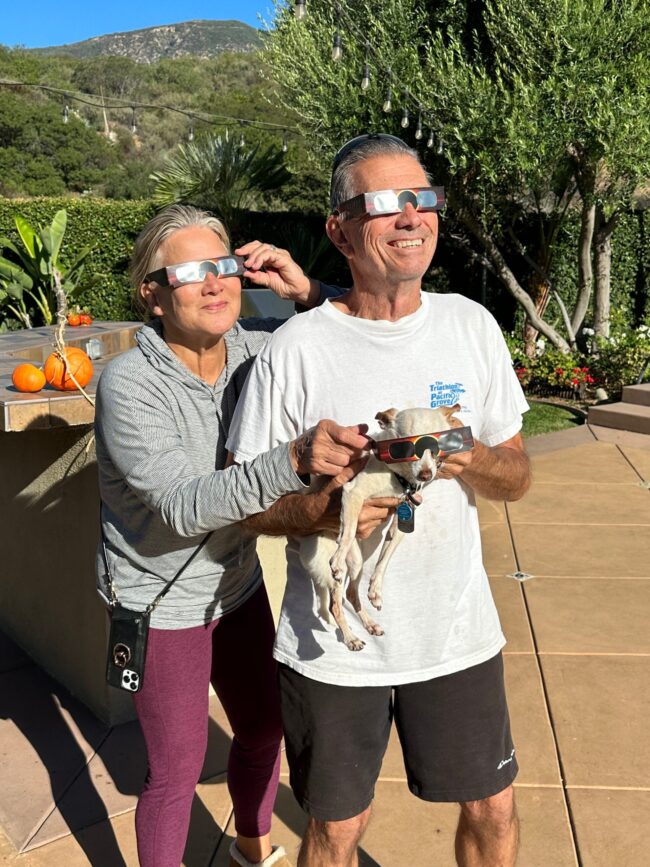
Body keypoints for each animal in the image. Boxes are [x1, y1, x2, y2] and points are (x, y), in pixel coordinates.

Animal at [296, 406, 464, 652]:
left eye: (436, 450)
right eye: (406, 449)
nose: (425, 474)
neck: (398, 477)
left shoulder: (402, 521)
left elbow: (384, 559)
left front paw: (375, 589)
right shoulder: (352, 494)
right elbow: (348, 531)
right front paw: (339, 556)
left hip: (356, 562)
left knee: (351, 594)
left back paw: (369, 624)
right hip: (331, 568)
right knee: (335, 605)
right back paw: (351, 638)